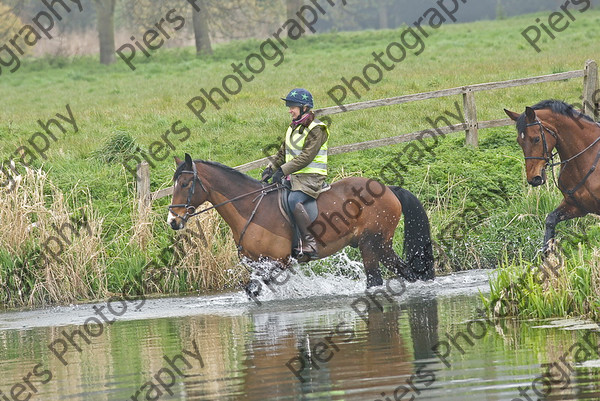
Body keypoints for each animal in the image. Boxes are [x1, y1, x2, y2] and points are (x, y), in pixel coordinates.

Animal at [166, 153, 434, 290]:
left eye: (186, 184)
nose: (173, 221)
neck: (251, 208)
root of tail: (387, 189)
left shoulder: (278, 262)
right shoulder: (255, 264)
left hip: (371, 244)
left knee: (375, 280)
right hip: (382, 246)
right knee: (407, 272)